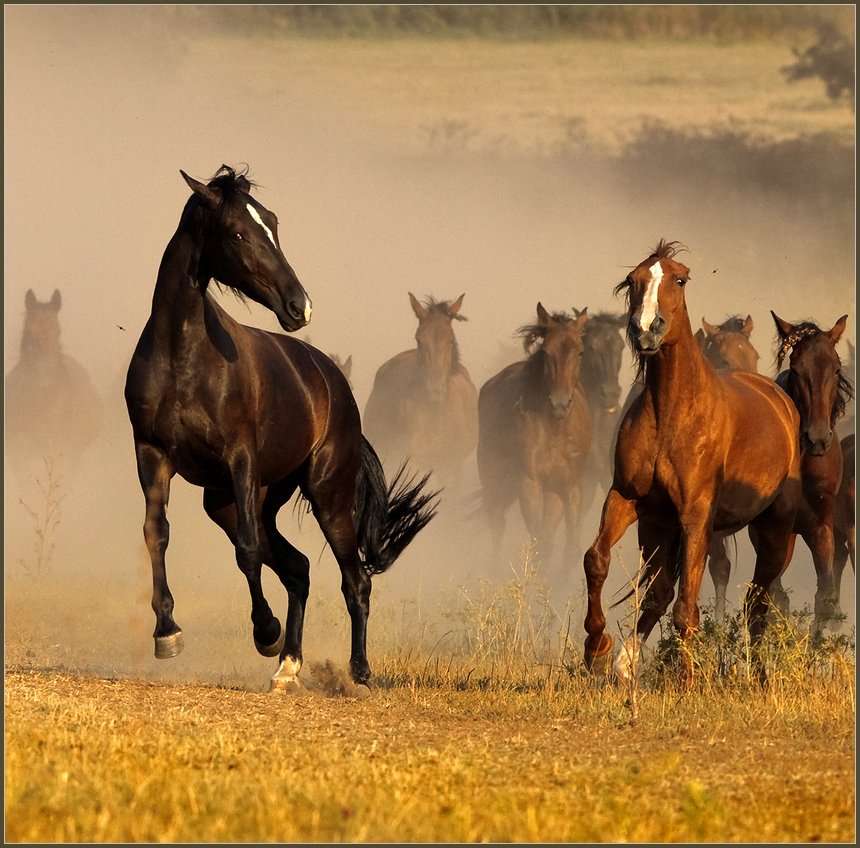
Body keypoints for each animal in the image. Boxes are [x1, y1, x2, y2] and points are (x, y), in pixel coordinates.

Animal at [362, 294, 480, 486]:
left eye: (450, 340)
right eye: (419, 339)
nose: (435, 388)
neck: (436, 415)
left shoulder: (452, 467)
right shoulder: (411, 461)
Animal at [478, 304, 592, 576]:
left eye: (580, 352)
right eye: (546, 352)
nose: (560, 404)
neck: (556, 430)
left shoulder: (571, 486)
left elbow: (570, 548)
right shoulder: (529, 483)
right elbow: (541, 543)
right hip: (494, 482)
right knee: (498, 525)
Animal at [580, 240, 804, 688]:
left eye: (680, 279)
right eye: (633, 279)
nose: (646, 329)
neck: (671, 412)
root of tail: (781, 400)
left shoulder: (696, 517)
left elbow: (688, 608)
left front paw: (687, 681)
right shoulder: (628, 499)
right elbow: (596, 560)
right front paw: (597, 649)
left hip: (775, 531)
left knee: (757, 601)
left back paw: (756, 674)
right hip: (656, 528)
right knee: (661, 591)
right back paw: (625, 662)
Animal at [768, 312, 848, 628]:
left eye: (836, 369)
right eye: (795, 368)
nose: (817, 438)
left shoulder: (821, 527)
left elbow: (824, 597)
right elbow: (775, 598)